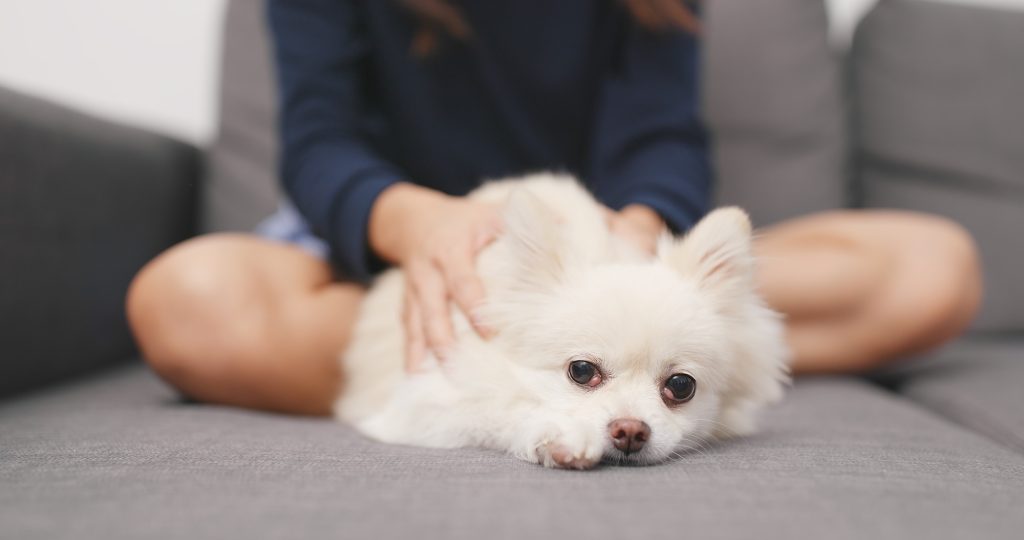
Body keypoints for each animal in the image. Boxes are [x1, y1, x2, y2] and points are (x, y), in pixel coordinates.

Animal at [335, 173, 790, 469]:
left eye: (681, 386)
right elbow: (498, 408)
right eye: (582, 371)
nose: (630, 430)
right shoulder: (423, 403)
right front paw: (558, 434)